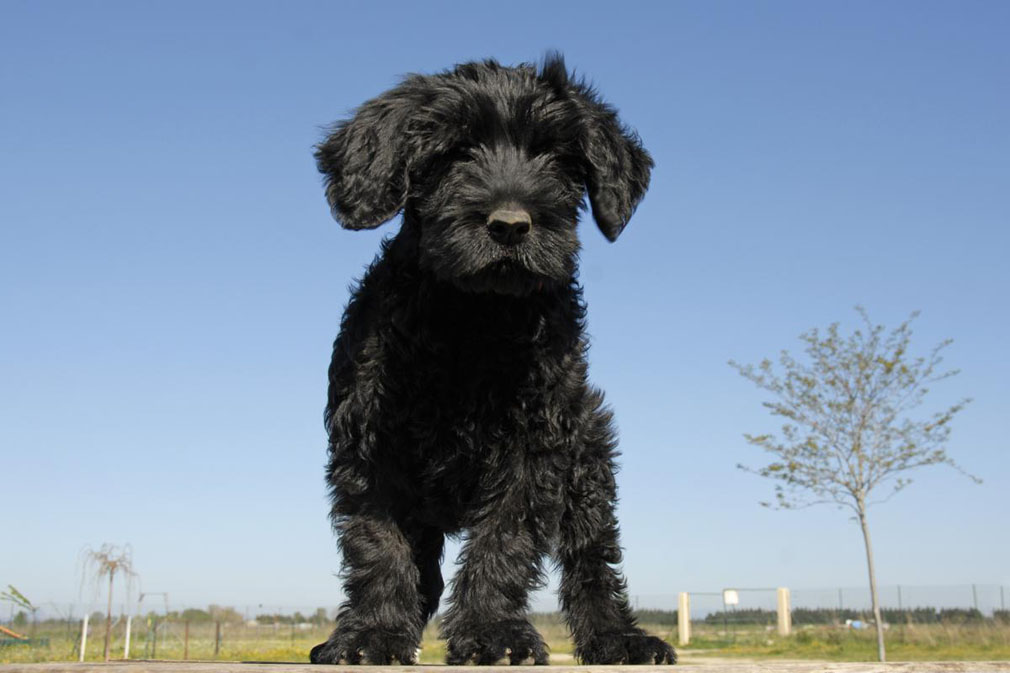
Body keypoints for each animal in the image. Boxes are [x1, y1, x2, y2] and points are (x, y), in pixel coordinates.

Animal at [307, 55, 670, 662]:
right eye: (454, 153)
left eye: (554, 155)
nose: (510, 225)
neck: (474, 319)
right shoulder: (370, 447)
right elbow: (378, 545)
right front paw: (373, 633)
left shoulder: (536, 447)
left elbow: (505, 541)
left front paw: (493, 633)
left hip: (588, 461)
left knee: (592, 559)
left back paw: (618, 638)